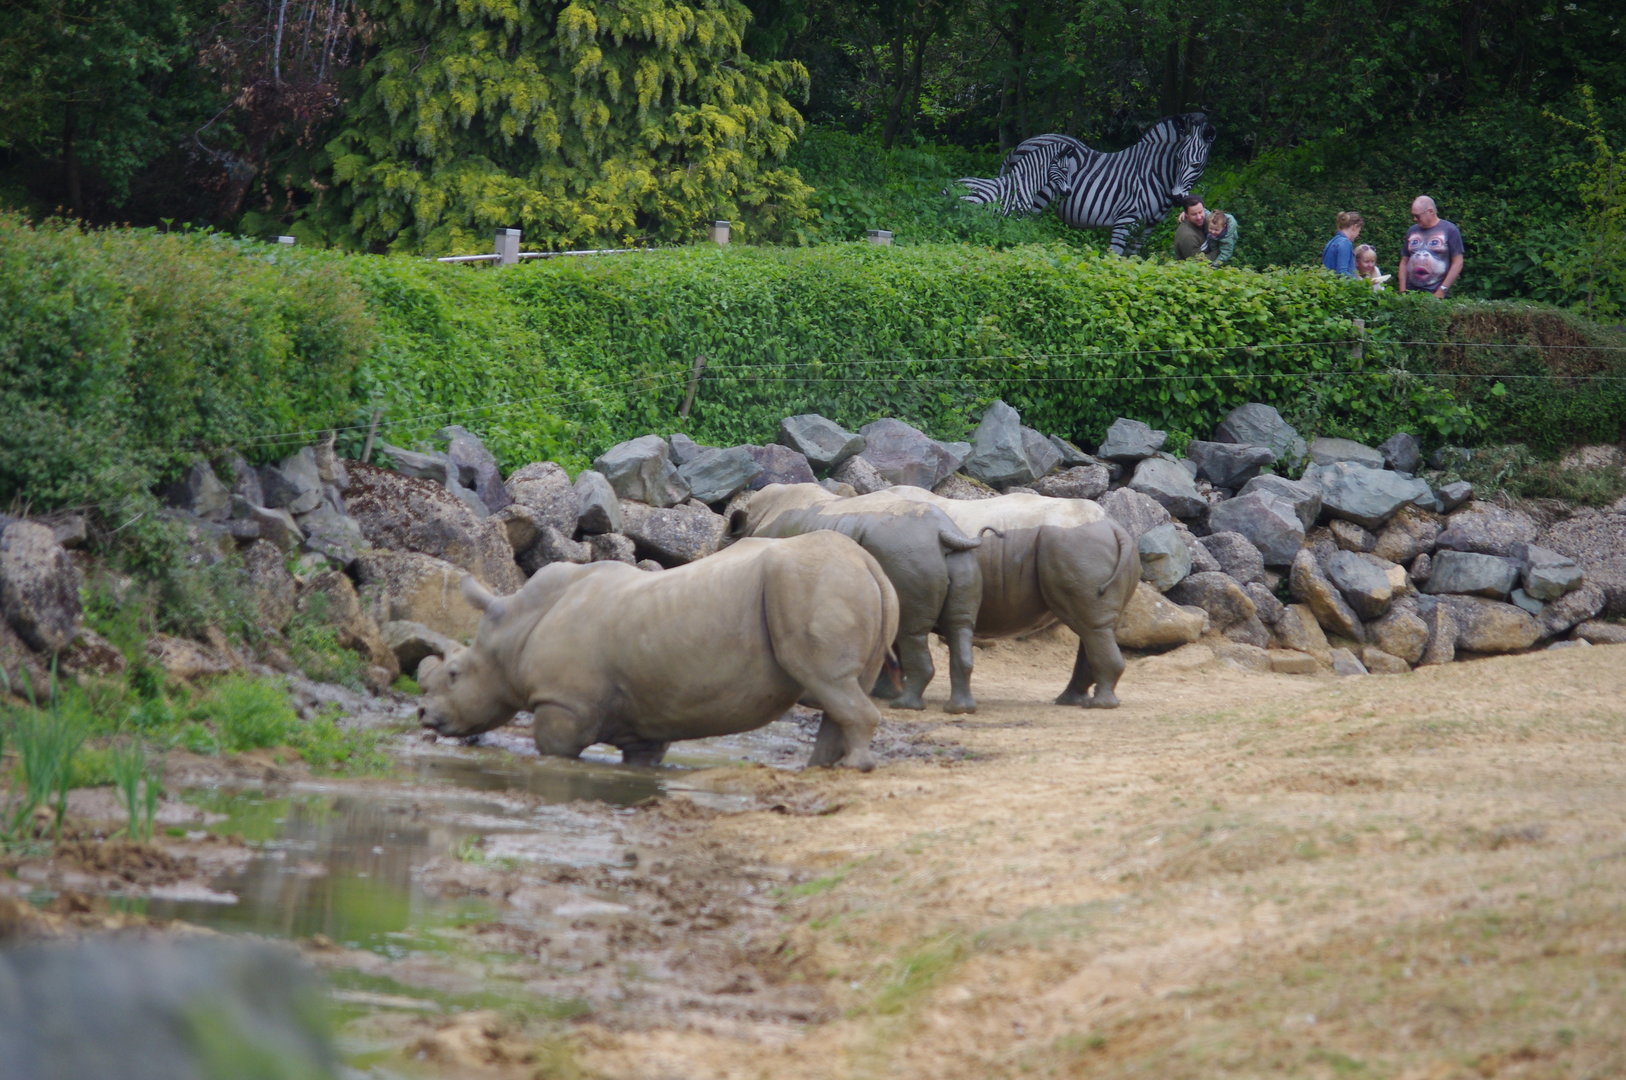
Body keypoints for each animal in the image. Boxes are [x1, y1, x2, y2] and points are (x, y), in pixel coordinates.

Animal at [417, 531, 899, 770]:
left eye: (455, 674)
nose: (422, 714)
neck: (513, 633)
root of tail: (867, 562)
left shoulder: (565, 703)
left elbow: (554, 749)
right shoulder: (645, 719)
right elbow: (642, 757)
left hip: (811, 583)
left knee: (825, 678)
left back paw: (855, 768)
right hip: (843, 583)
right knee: (845, 686)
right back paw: (819, 770)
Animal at [730, 483, 984, 713]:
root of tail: (943, 532)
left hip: (909, 552)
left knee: (910, 632)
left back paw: (904, 705)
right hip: (953, 557)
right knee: (957, 626)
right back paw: (957, 708)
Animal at [885, 488, 1140, 707]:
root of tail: (1114, 526)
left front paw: (887, 694)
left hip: (1076, 546)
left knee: (1091, 626)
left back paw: (1098, 704)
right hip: (1090, 549)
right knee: (1093, 627)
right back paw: (1071, 701)